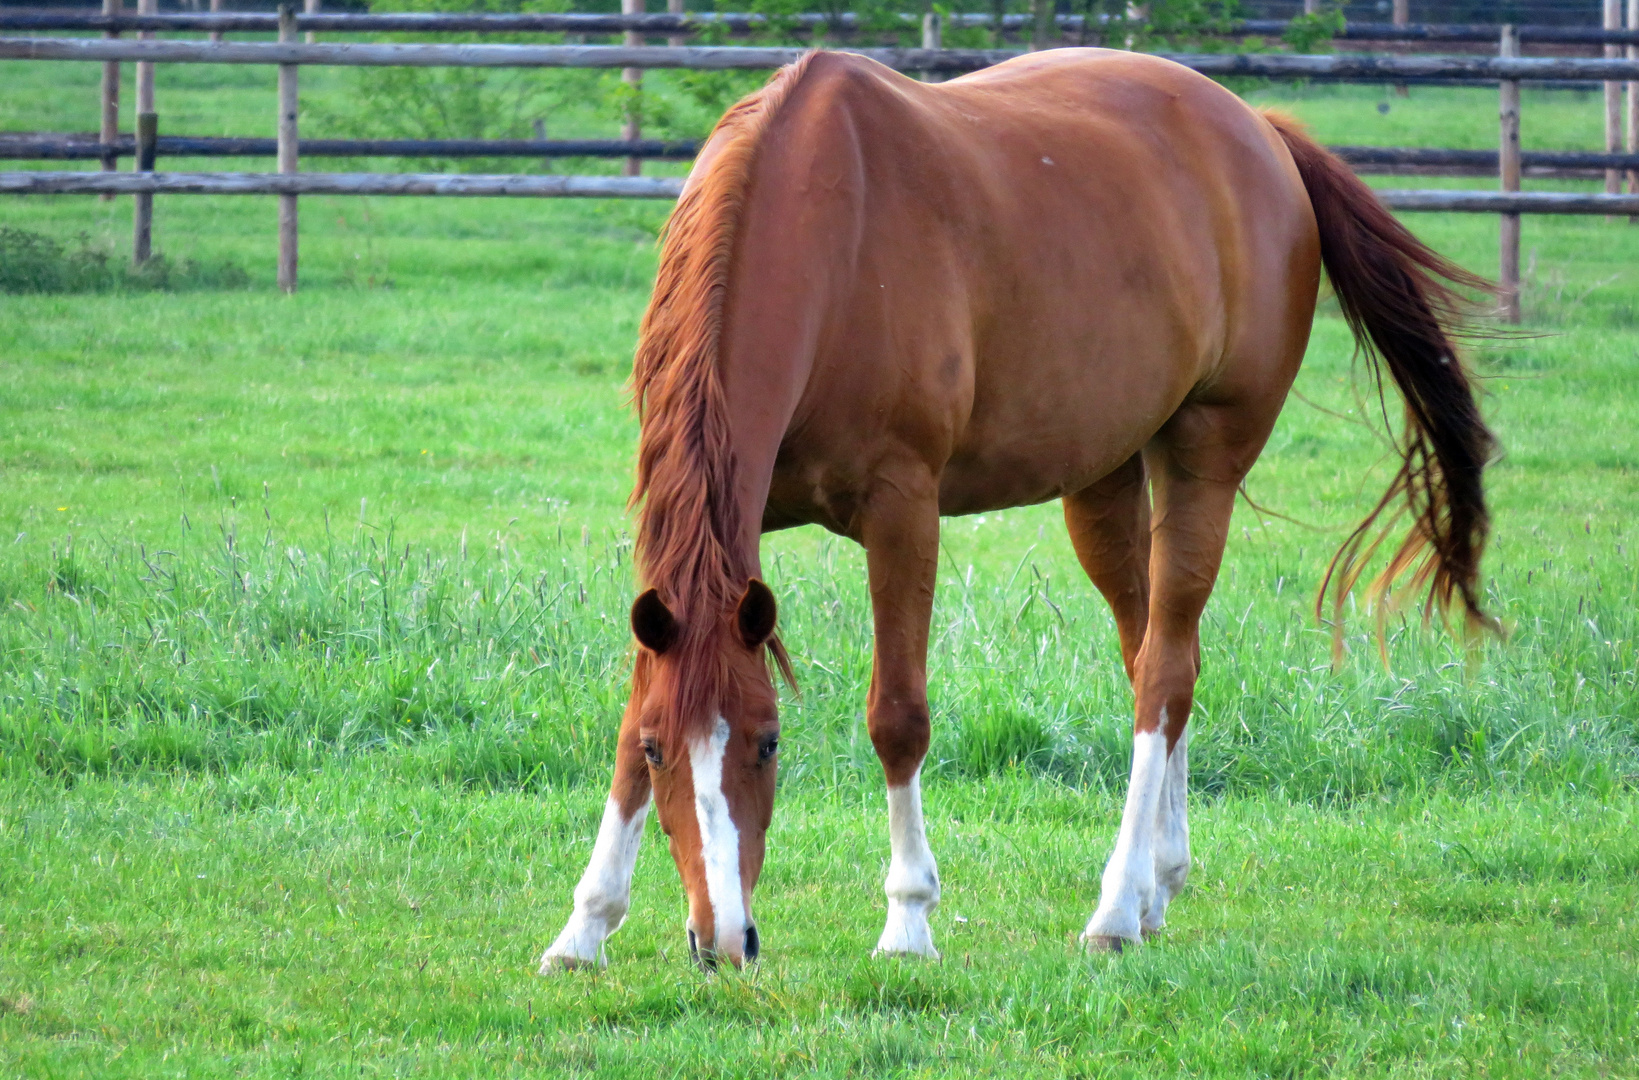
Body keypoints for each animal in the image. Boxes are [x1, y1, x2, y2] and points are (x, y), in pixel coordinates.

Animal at [540, 44, 1501, 970]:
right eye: (663, 750)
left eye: (769, 742)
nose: (722, 942)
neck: (827, 237)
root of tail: (1259, 131)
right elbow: (631, 715)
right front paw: (585, 925)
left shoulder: (902, 510)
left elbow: (897, 716)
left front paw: (908, 920)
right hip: (1105, 478)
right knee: (1155, 658)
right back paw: (1156, 886)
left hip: (1203, 458)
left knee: (1164, 670)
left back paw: (1114, 909)